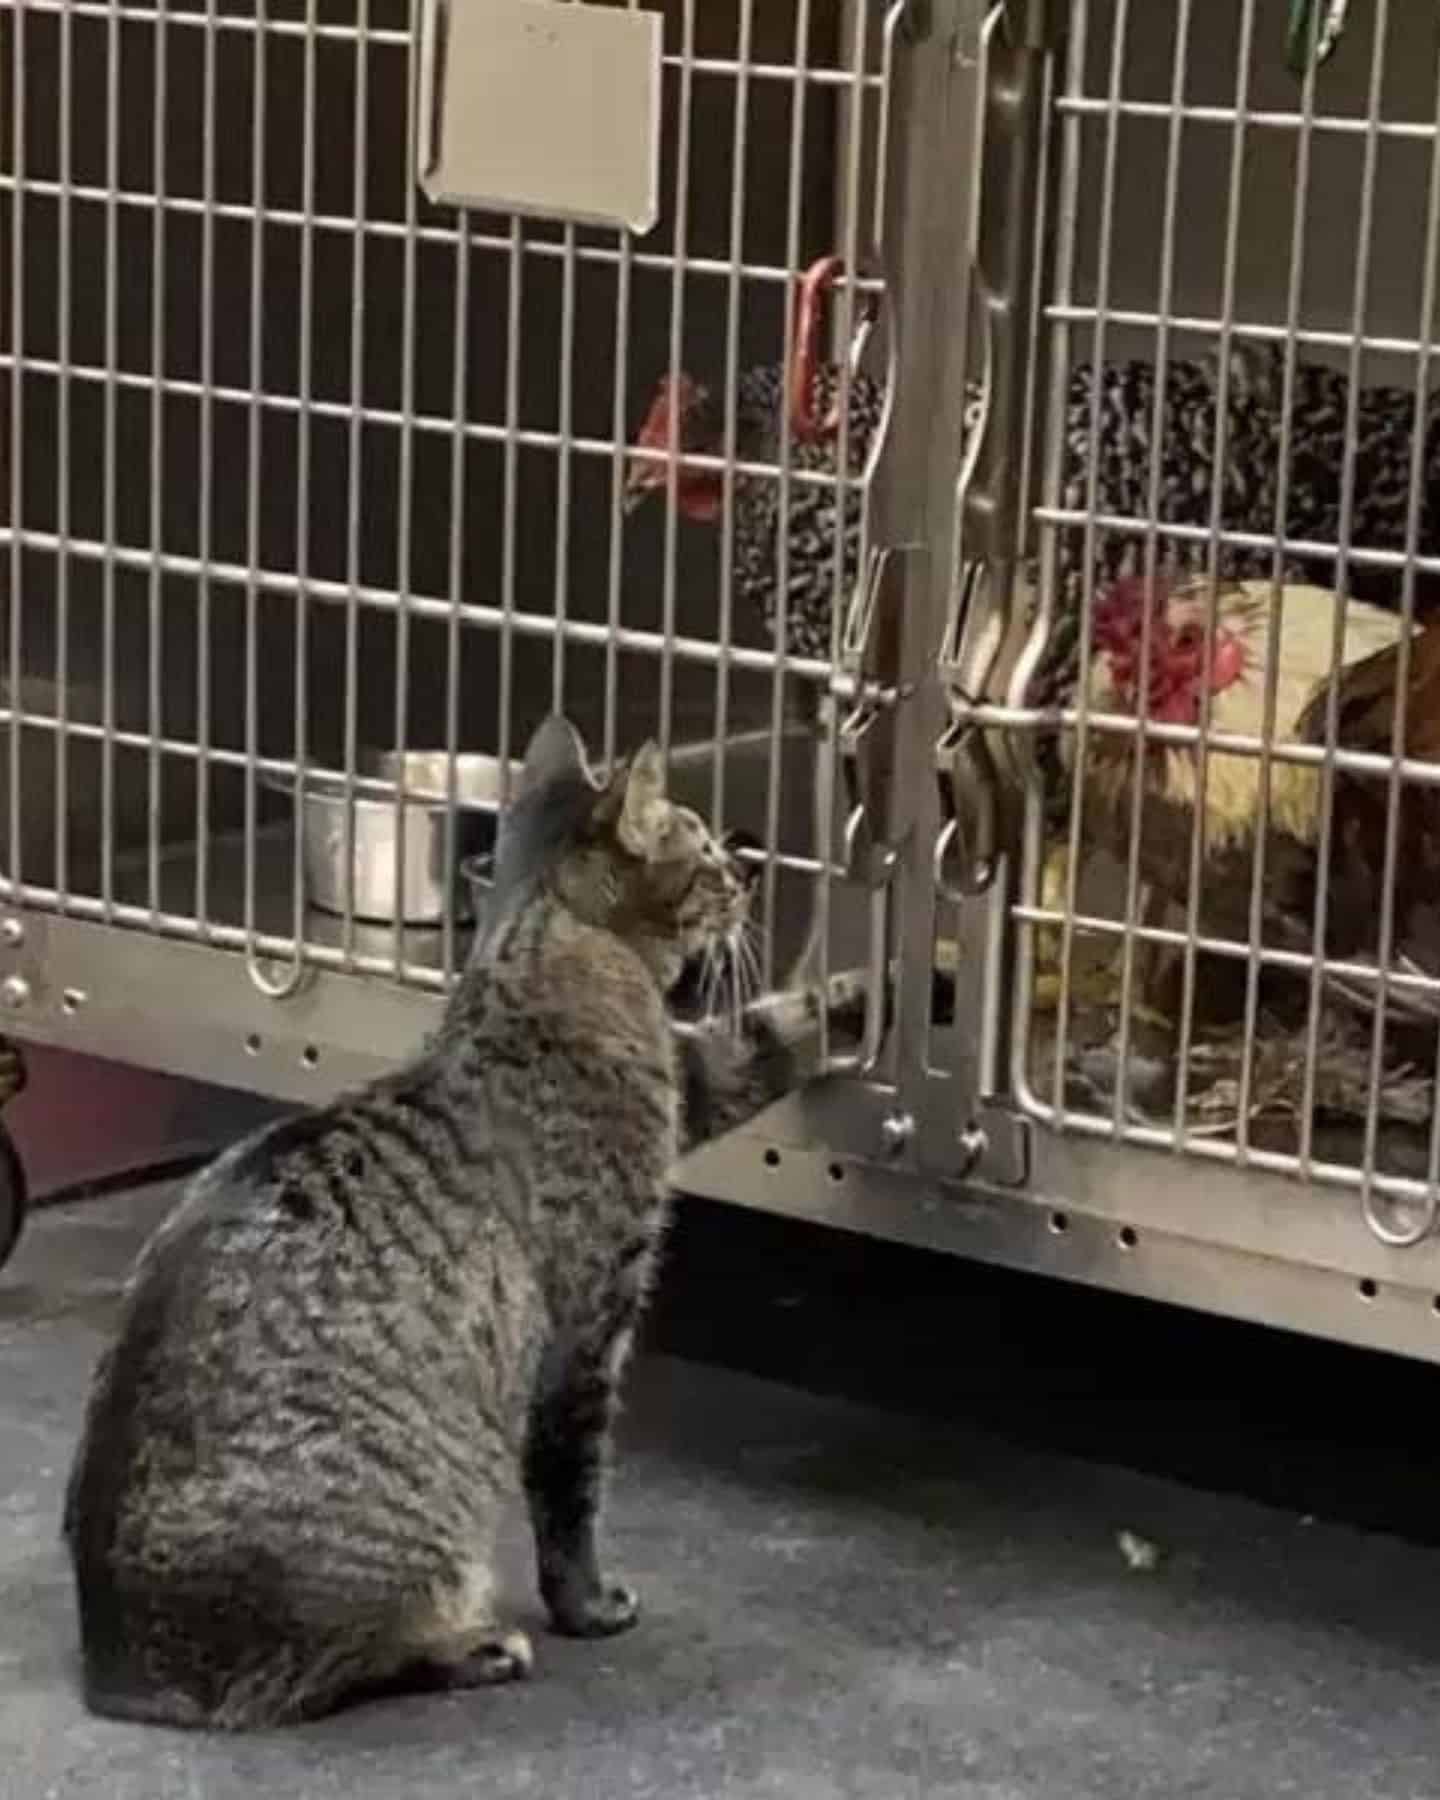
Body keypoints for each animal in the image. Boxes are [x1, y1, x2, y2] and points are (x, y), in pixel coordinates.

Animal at [64, 716, 842, 1728]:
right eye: (703, 848)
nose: (745, 868)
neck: (534, 952)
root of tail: (123, 1670)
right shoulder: (588, 1334)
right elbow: (570, 1498)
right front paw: (589, 1607)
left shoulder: (687, 1080)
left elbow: (760, 1036)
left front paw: (867, 994)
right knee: (329, 1668)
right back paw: (473, 1645)